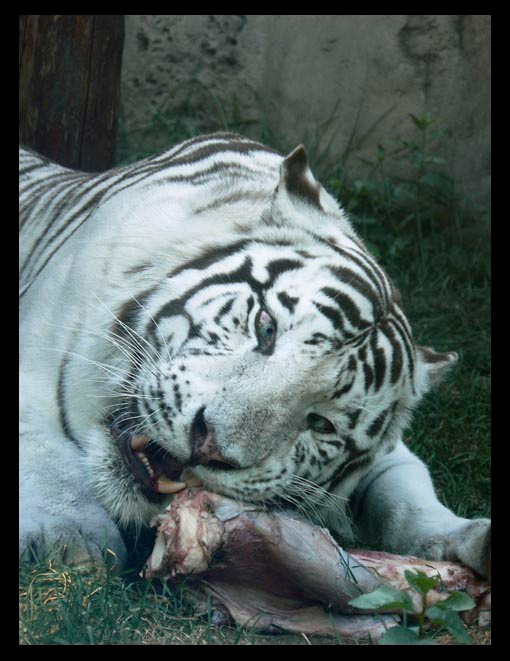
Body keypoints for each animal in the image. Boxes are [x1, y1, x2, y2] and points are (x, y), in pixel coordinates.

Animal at [19, 132, 490, 579]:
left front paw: (463, 537)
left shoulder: (390, 455)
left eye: (321, 423)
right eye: (266, 328)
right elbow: (45, 457)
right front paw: (71, 540)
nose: (207, 445)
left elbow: (406, 490)